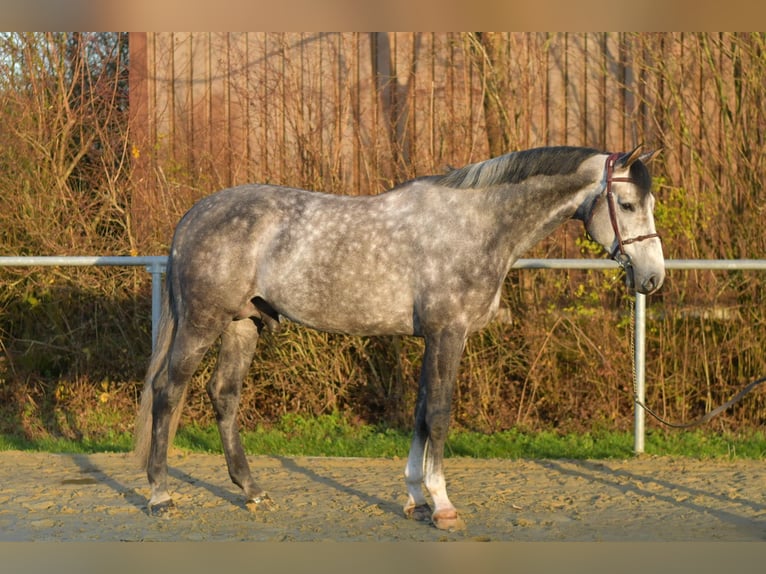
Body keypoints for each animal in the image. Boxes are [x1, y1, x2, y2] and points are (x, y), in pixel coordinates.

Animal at [134, 145, 664, 531]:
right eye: (627, 204)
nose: (653, 278)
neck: (476, 225)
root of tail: (193, 216)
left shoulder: (434, 338)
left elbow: (420, 413)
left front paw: (416, 498)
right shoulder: (449, 334)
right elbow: (440, 414)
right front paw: (443, 505)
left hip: (243, 324)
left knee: (223, 395)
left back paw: (252, 490)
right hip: (203, 322)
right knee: (168, 392)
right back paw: (161, 494)